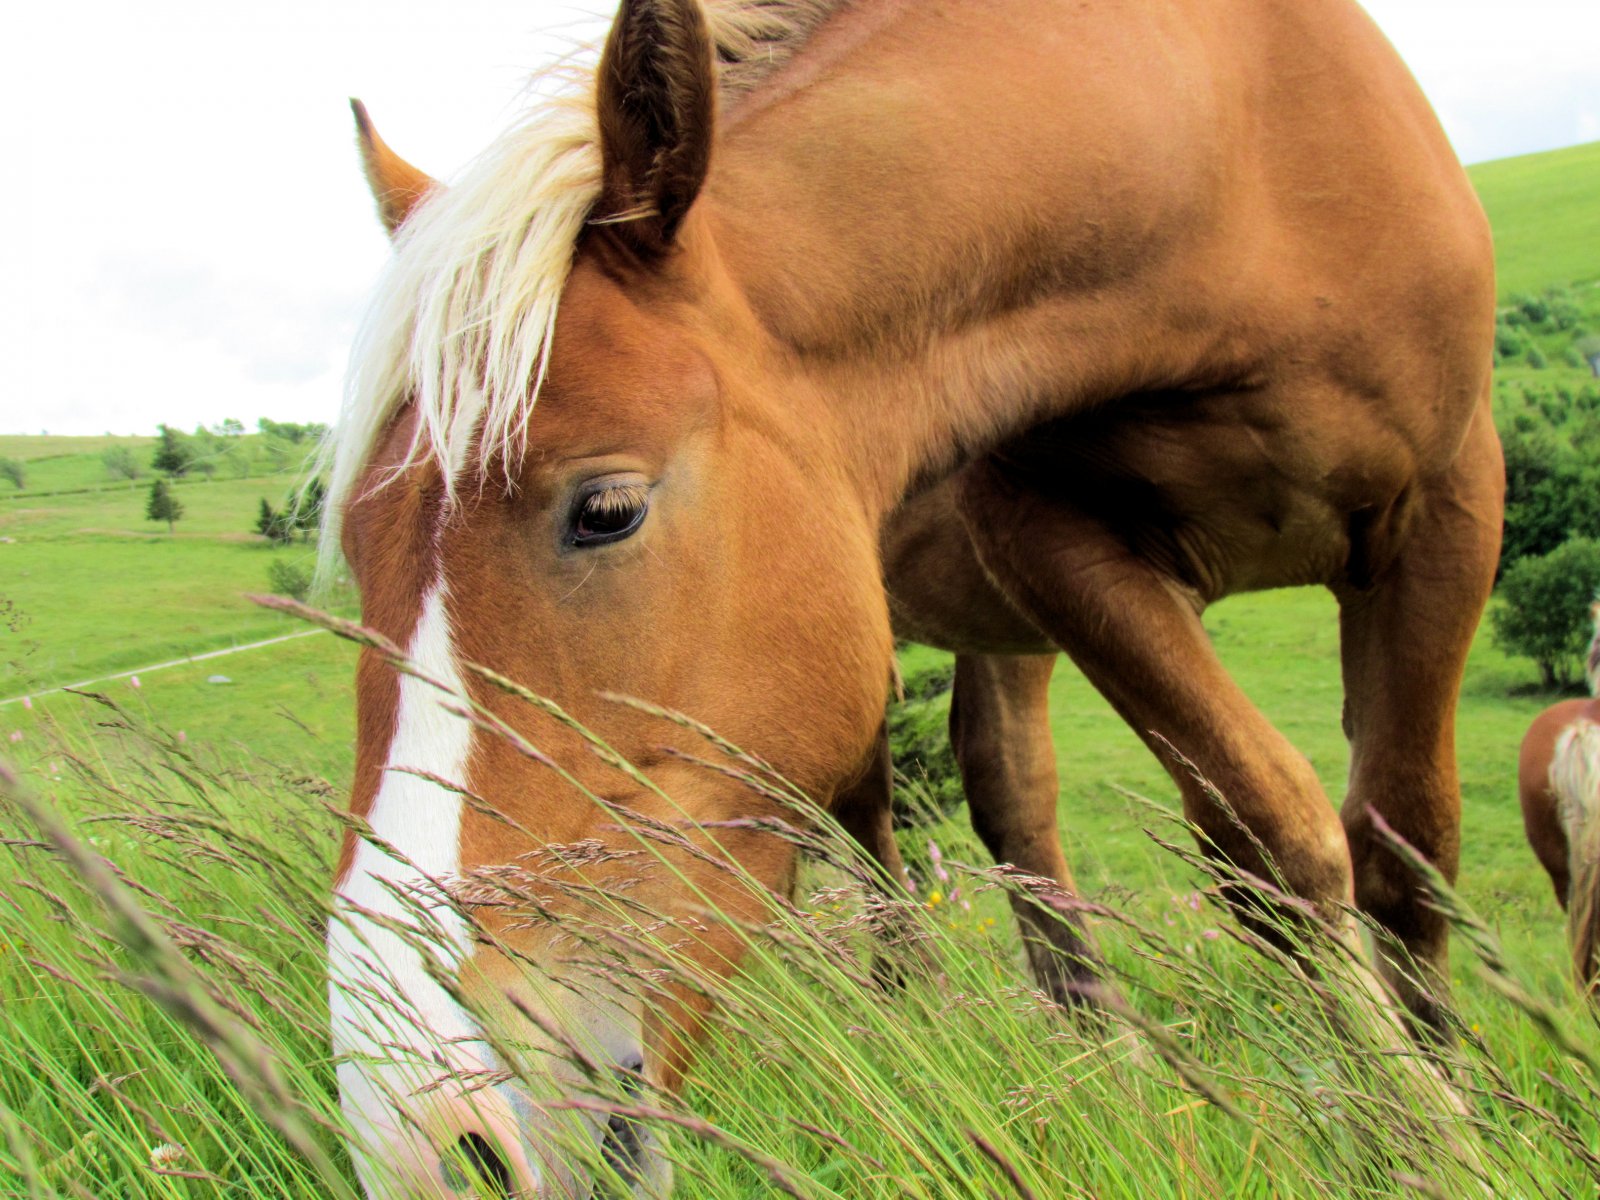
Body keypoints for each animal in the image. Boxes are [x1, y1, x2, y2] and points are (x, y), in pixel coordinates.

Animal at [324, 4, 1497, 1196]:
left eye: (606, 509)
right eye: (355, 549)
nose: (425, 1136)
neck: (1231, 153)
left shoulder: (1452, 506)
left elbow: (1402, 846)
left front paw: (1453, 1117)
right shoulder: (1047, 541)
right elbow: (1269, 835)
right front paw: (1418, 1129)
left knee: (1011, 791)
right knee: (886, 826)